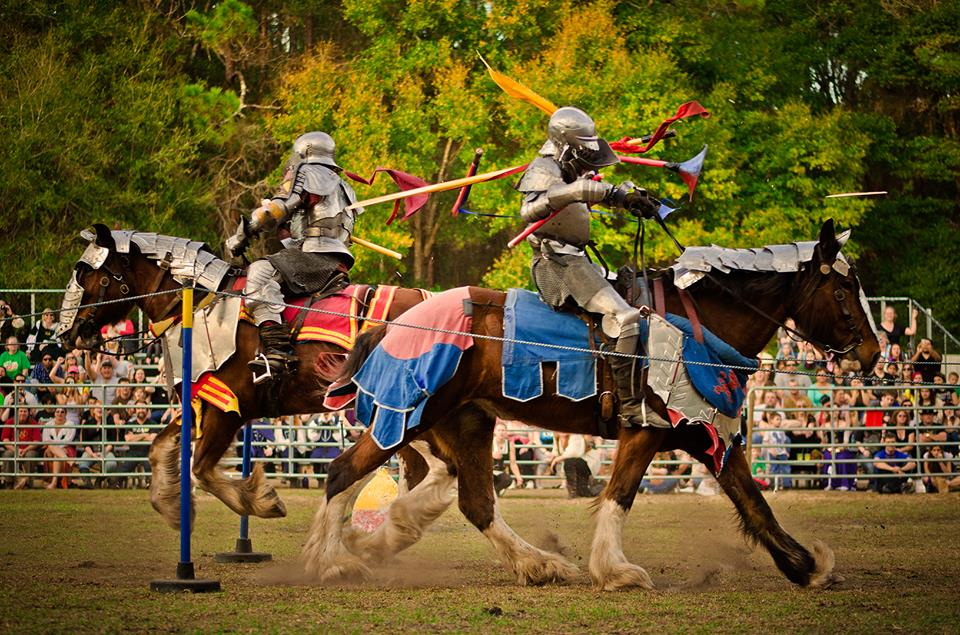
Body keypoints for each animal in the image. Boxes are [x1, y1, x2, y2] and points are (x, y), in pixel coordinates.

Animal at [56, 226, 438, 528]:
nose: (68, 333)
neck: (197, 303)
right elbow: (159, 448)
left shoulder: (226, 410)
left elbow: (201, 469)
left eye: (92, 277)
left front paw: (263, 501)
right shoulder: (203, 401)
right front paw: (173, 509)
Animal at [306, 222, 876, 592]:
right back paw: (333, 563)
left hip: (463, 422)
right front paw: (616, 571)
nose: (873, 353)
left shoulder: (704, 434)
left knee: (475, 502)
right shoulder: (646, 430)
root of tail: (393, 324)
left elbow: (754, 502)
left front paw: (804, 565)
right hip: (407, 414)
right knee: (343, 473)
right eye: (844, 288)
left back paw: (537, 565)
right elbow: (619, 496)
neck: (698, 327)